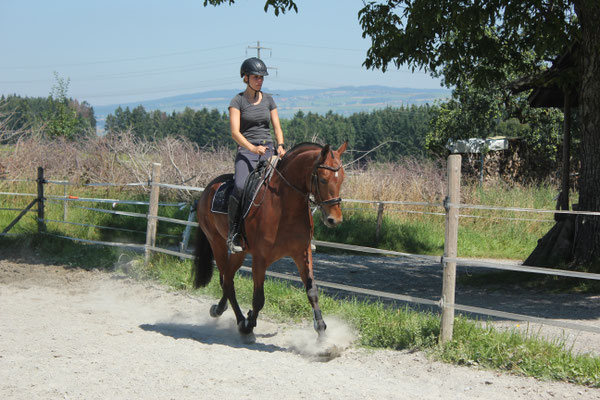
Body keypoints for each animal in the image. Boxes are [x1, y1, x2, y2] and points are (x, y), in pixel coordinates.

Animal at [192, 142, 346, 336]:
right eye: (323, 179)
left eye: (342, 179)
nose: (335, 219)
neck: (285, 206)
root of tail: (209, 188)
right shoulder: (260, 258)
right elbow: (259, 298)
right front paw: (249, 323)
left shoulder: (302, 253)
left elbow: (312, 291)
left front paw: (321, 331)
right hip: (217, 244)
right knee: (227, 282)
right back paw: (239, 320)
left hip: (238, 253)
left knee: (227, 280)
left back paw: (221, 309)